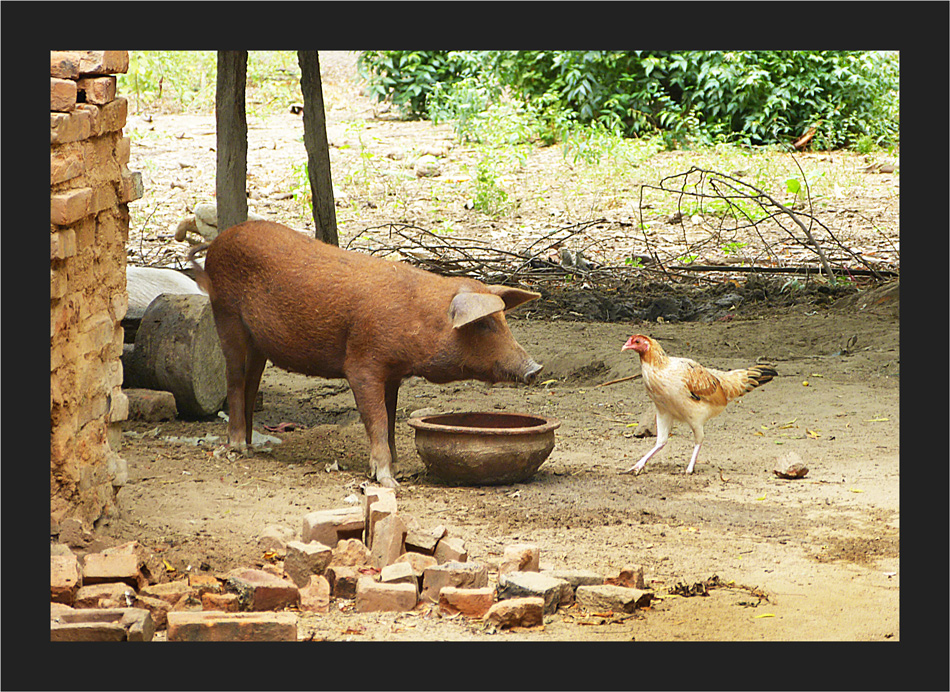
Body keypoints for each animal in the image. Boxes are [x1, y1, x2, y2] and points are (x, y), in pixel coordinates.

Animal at [192, 222, 544, 486]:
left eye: (503, 320)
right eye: (484, 323)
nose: (535, 368)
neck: (417, 319)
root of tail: (220, 239)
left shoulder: (394, 374)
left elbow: (390, 416)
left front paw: (397, 469)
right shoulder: (363, 364)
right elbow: (376, 418)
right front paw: (389, 481)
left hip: (259, 341)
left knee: (251, 382)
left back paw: (253, 447)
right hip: (225, 313)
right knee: (234, 377)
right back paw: (238, 447)